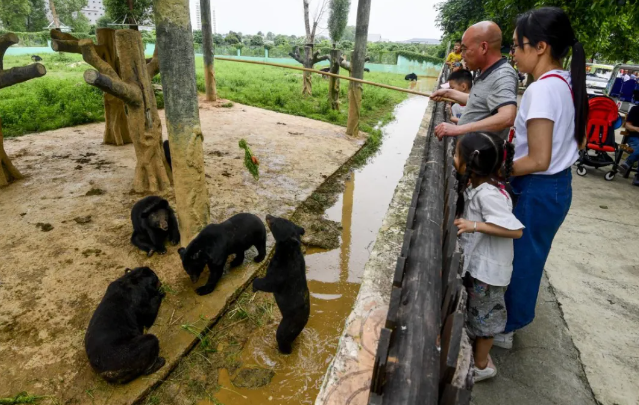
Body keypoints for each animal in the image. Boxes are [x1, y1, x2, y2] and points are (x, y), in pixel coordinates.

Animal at [252, 215, 310, 354]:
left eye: (277, 222)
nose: (268, 215)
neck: (288, 250)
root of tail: (304, 320)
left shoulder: (282, 272)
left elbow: (269, 283)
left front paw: (254, 284)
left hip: (288, 325)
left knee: (282, 337)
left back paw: (282, 351)